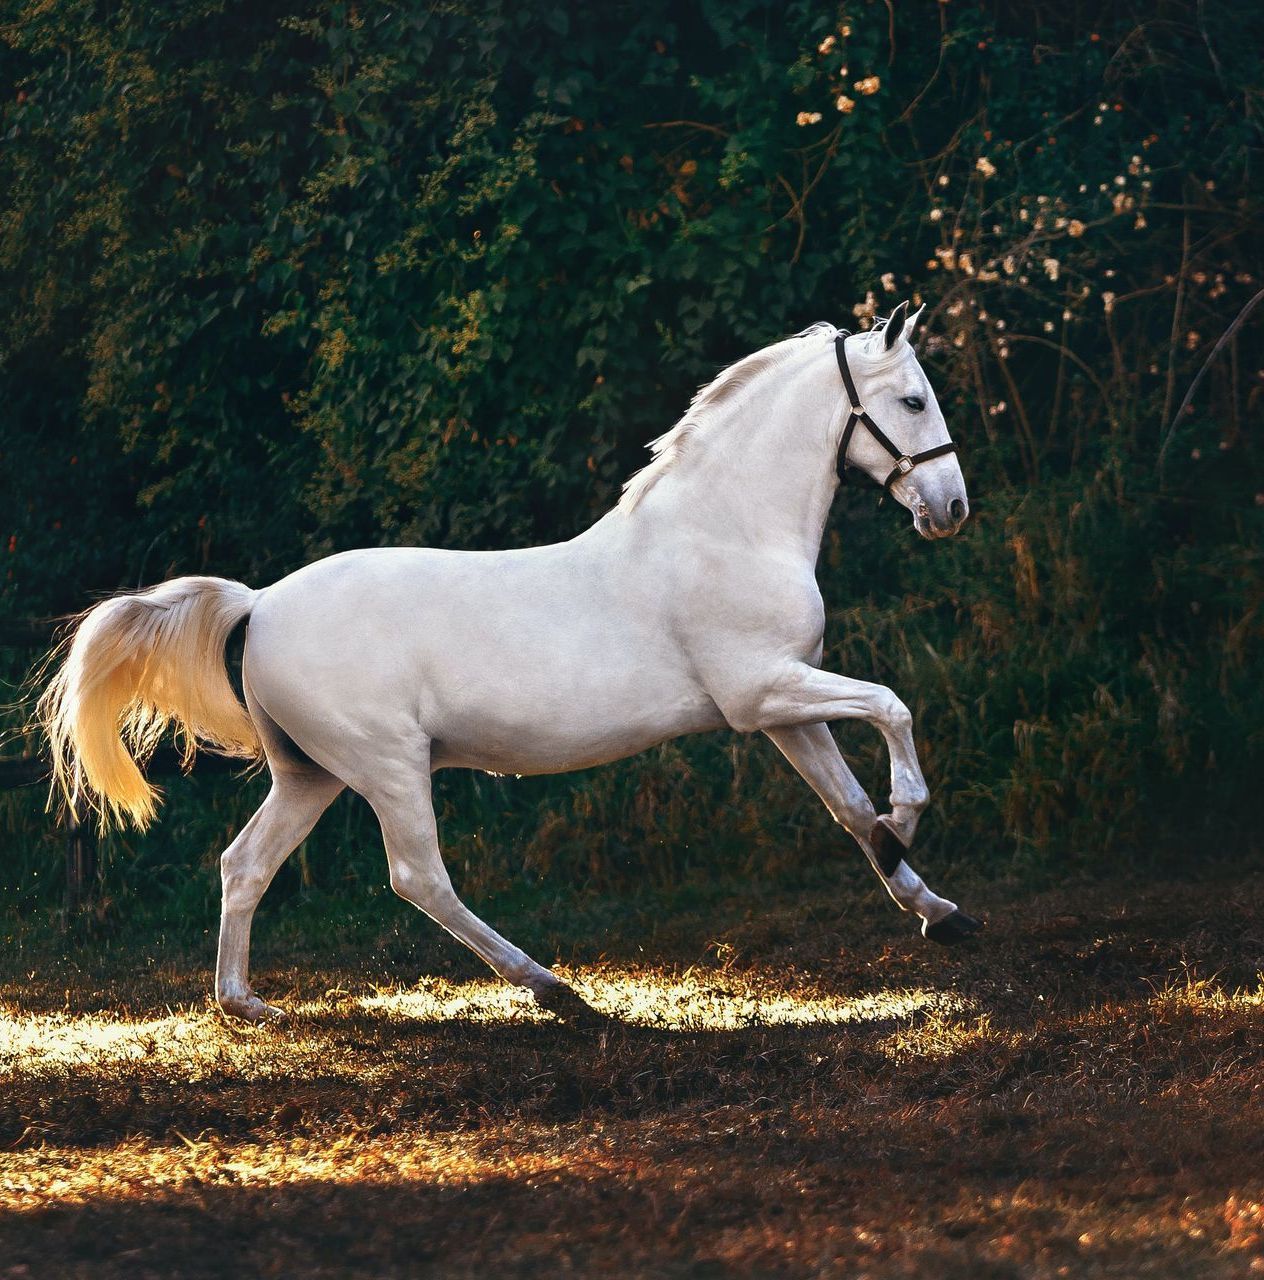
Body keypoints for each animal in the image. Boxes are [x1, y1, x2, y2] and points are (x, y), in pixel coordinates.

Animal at [38, 300, 981, 1023]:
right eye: (912, 399)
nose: (951, 510)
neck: (727, 531)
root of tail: (261, 603)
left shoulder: (786, 709)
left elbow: (849, 809)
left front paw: (935, 907)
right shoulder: (763, 694)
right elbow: (892, 708)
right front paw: (909, 818)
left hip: (311, 774)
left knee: (246, 864)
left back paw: (245, 1004)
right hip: (387, 765)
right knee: (419, 877)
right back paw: (553, 989)